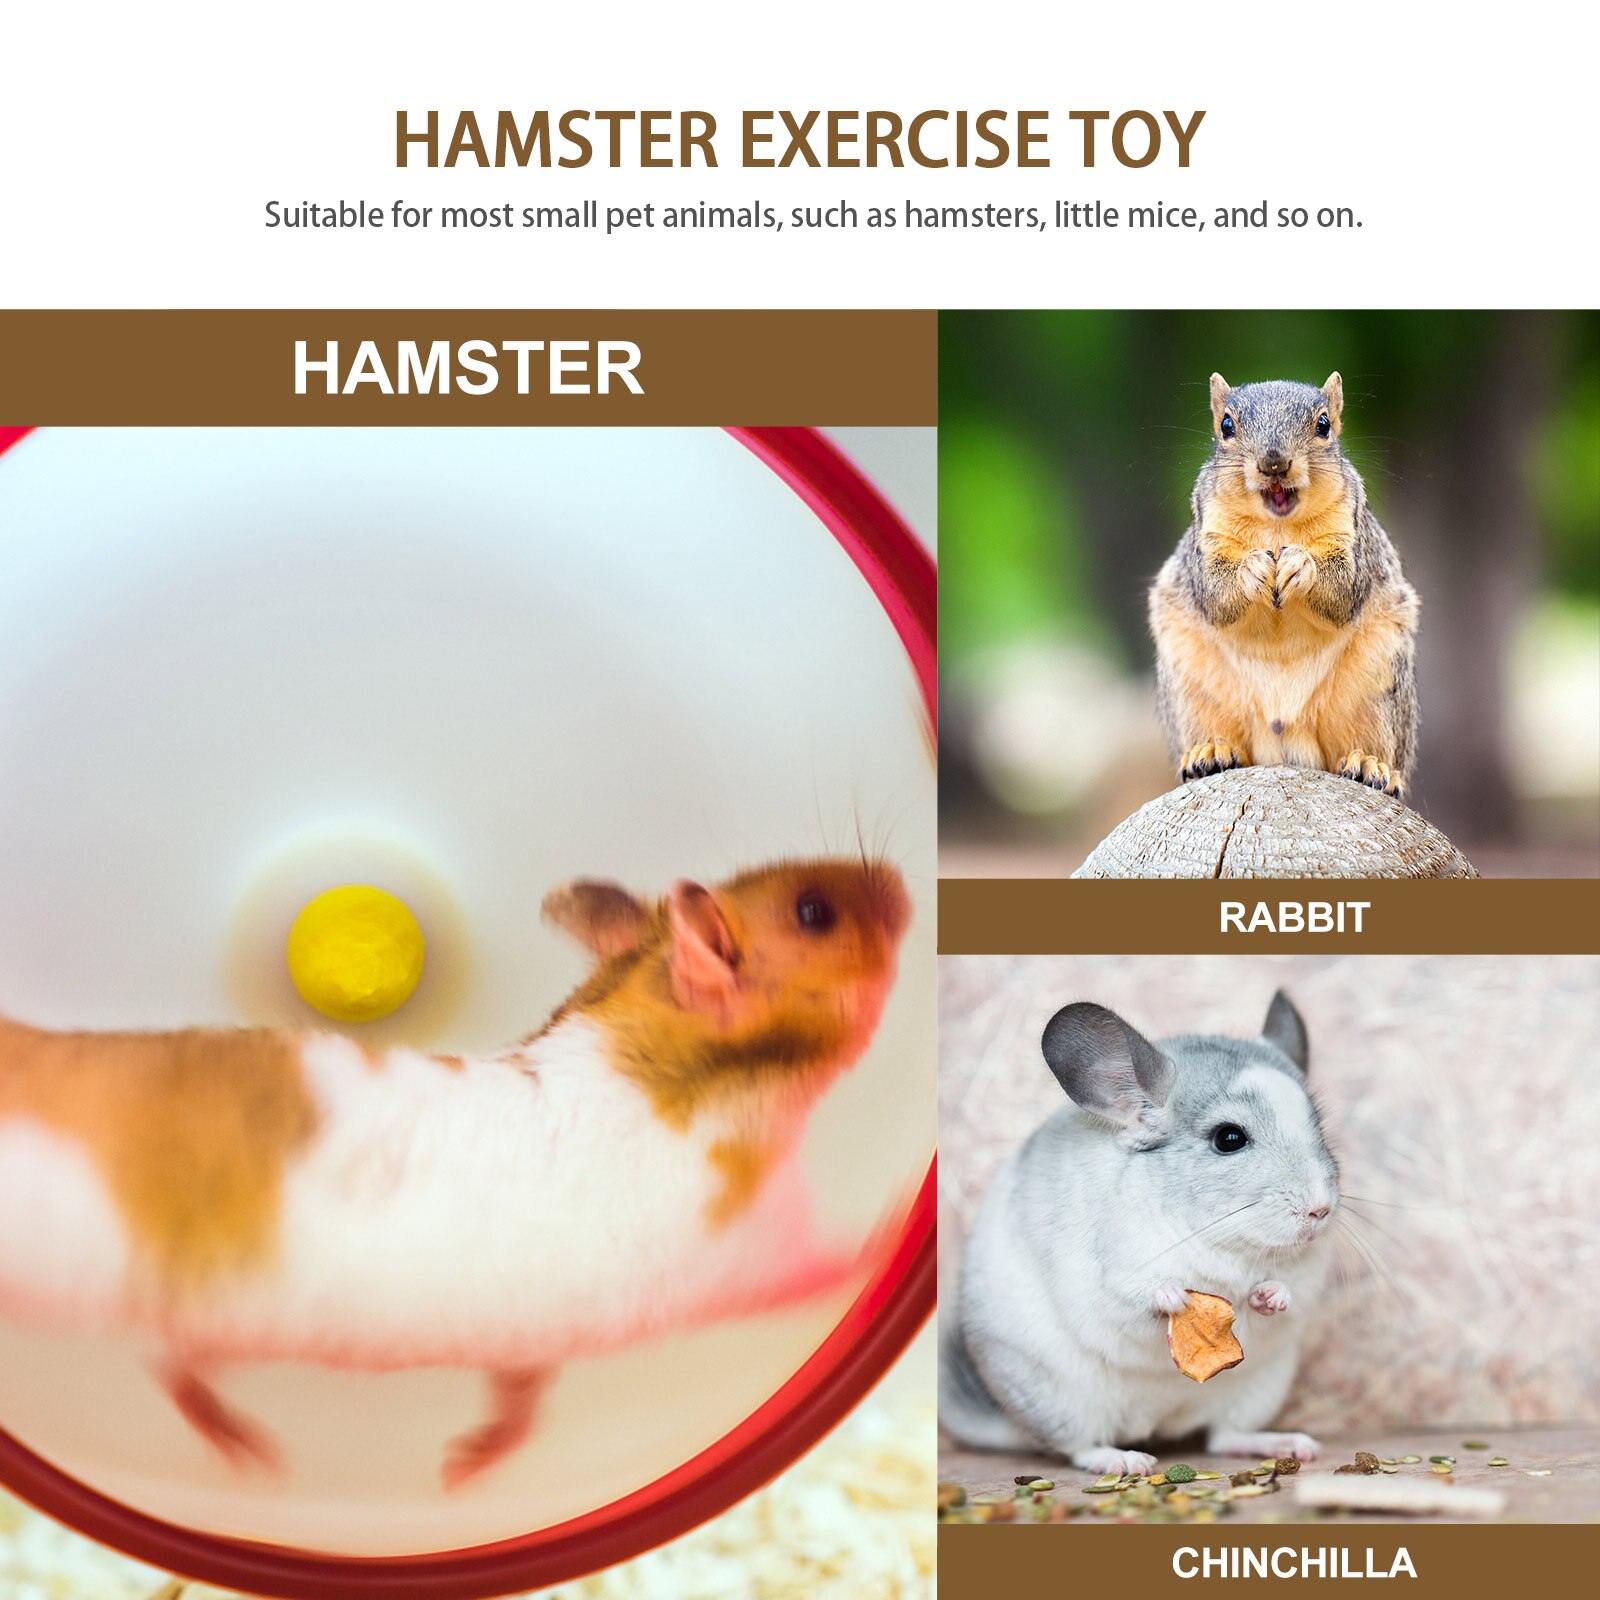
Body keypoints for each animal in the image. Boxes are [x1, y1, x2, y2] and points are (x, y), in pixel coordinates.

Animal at [0, 855, 910, 1490]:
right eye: (815, 912)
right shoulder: (753, 1254)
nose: (902, 878)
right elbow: (828, 1263)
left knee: (173, 1372)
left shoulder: (532, 1345)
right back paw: (257, 1458)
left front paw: (459, 1470)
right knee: (172, 1375)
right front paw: (896, 1221)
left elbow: (520, 1406)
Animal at [941, 991, 1337, 1475]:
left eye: (1319, 1130)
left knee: (1223, 1437)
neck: (1220, 1241)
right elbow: (1134, 1298)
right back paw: (1125, 1460)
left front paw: (1271, 1296)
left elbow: (1289, 1294)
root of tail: (1156, 1424)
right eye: (1229, 1138)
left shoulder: (1306, 1274)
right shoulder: (1110, 1275)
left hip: (1259, 1389)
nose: (1321, 1208)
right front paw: (1171, 1296)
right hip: (1057, 1400)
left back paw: (1287, 1444)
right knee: (1079, 1447)